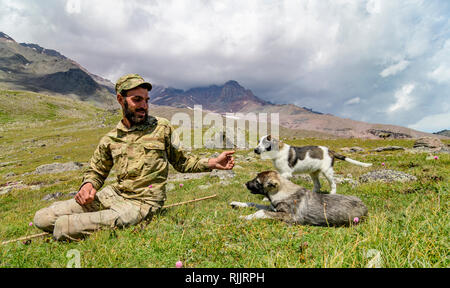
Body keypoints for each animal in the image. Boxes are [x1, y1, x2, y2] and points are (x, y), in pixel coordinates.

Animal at [230, 170, 368, 226]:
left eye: (257, 182)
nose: (246, 184)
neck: (282, 191)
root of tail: (364, 206)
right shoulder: (273, 207)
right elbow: (254, 204)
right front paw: (237, 203)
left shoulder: (290, 216)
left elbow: (261, 211)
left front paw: (244, 217)